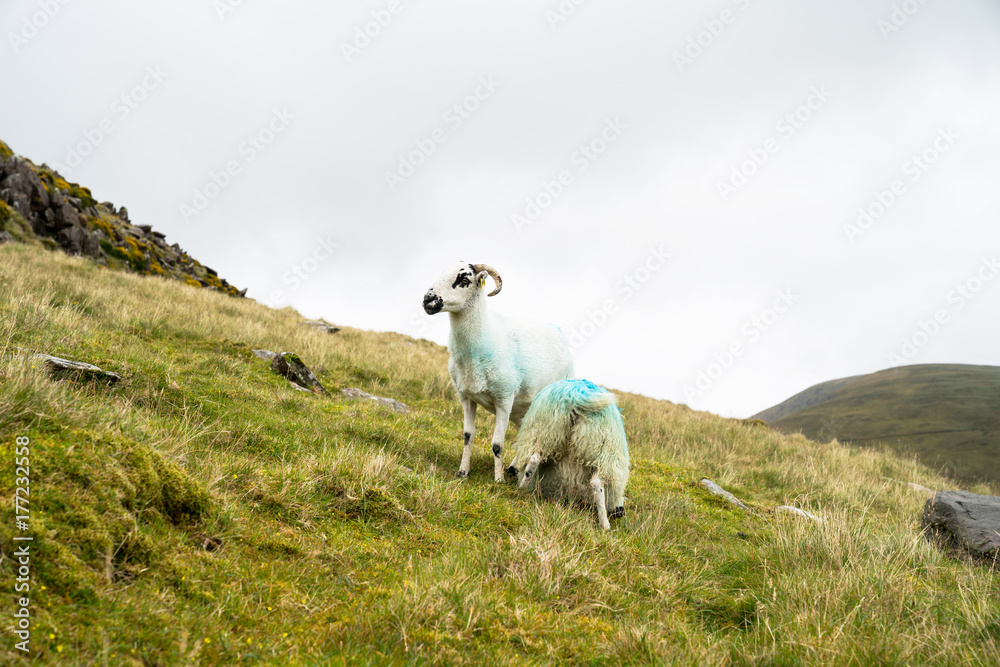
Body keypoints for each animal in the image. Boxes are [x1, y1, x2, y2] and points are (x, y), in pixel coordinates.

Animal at [422, 261, 574, 481]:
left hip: (548, 408)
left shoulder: (504, 399)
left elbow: (497, 444)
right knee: (525, 433)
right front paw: (462, 472)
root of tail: (561, 334)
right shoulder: (466, 397)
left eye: (464, 279)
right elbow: (468, 436)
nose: (428, 299)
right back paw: (514, 468)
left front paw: (498, 480)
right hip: (522, 409)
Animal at [507, 379, 629, 530]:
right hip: (600, 448)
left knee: (533, 461)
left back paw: (522, 488)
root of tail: (575, 395)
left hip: (544, 432)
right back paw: (604, 525)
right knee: (596, 483)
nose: (620, 512)